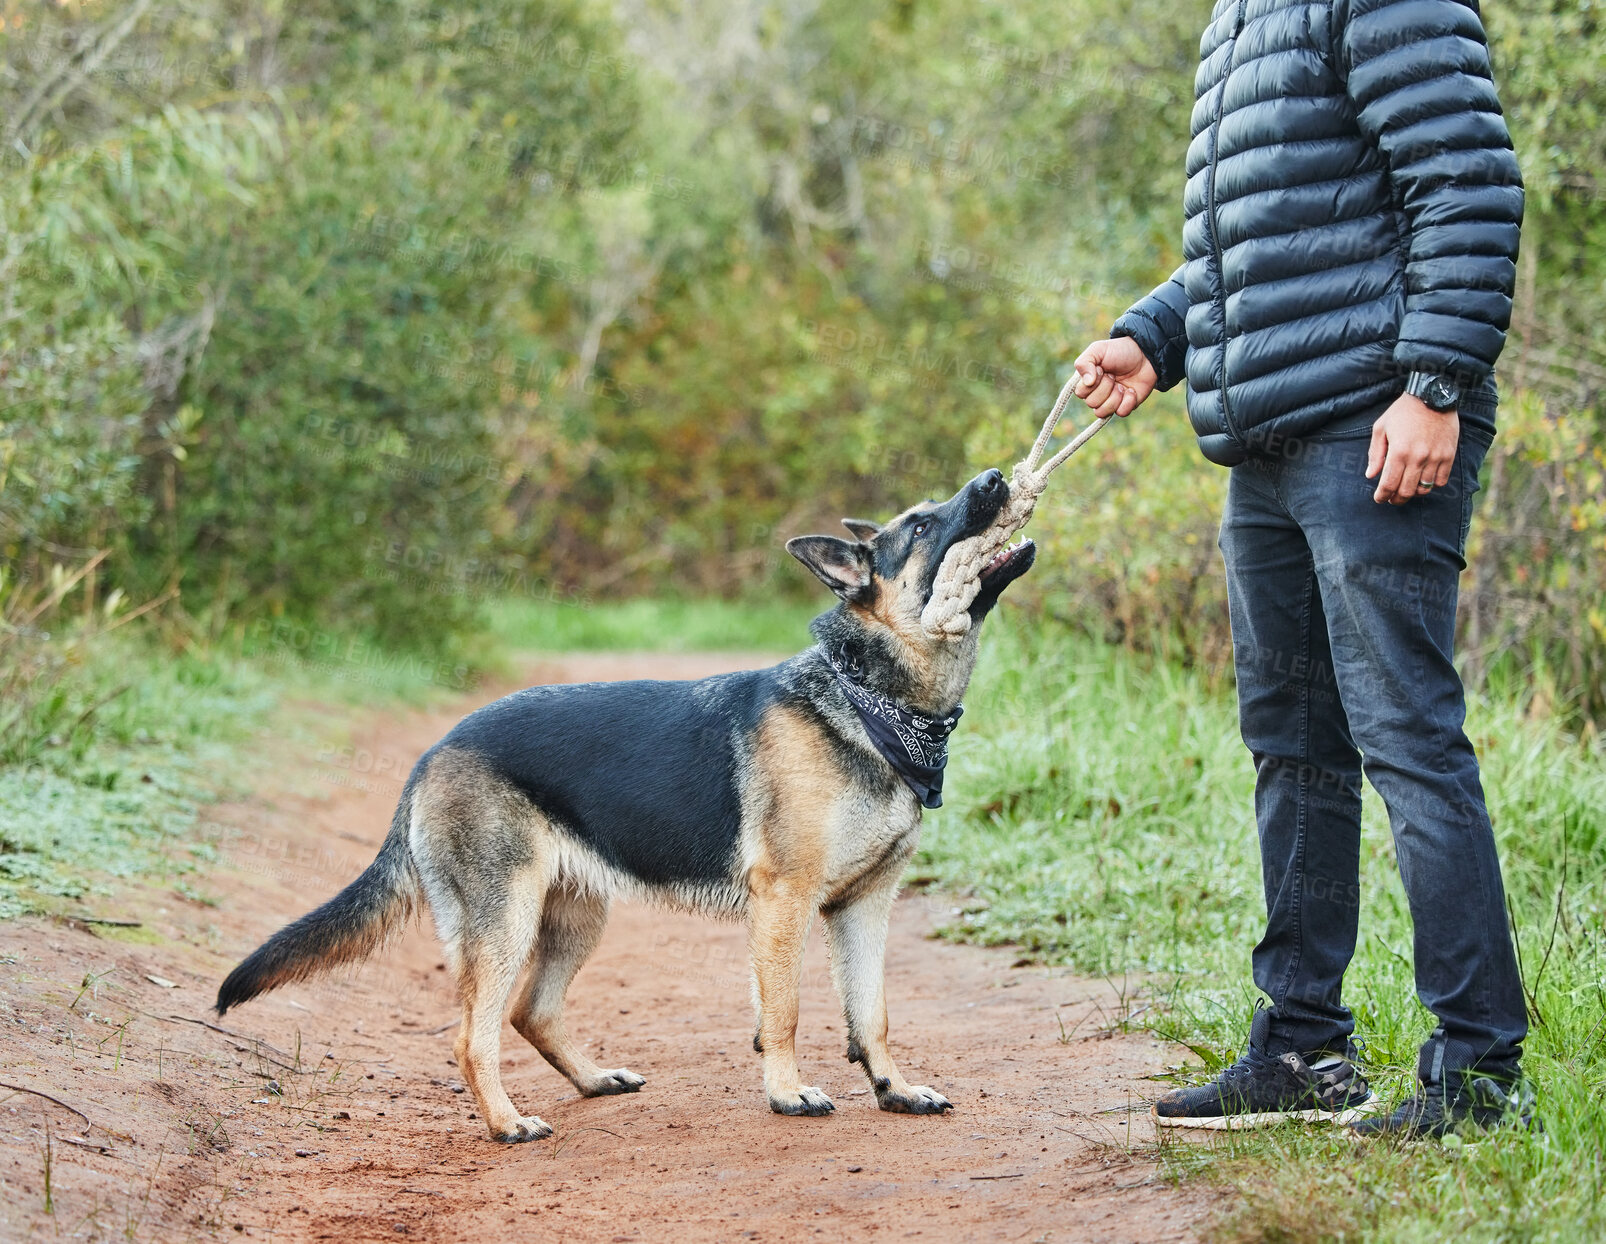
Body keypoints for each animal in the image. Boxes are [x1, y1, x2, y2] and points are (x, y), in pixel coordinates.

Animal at [213, 465, 1034, 1136]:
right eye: (921, 526)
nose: (996, 476)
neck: (870, 699)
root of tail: (434, 752)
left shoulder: (865, 908)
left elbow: (874, 1015)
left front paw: (895, 1089)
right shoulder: (785, 903)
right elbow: (786, 1011)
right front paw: (787, 1092)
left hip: (577, 916)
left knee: (530, 1012)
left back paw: (591, 1080)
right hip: (506, 920)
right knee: (473, 1035)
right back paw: (507, 1123)